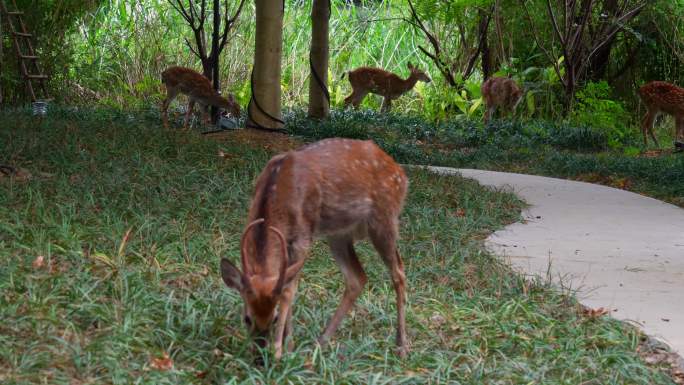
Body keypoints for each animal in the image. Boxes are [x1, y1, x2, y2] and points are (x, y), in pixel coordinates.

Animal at [222, 138, 408, 360]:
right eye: (247, 318)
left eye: (274, 318)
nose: (259, 357)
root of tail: (401, 173)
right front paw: (289, 345)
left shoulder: (303, 236)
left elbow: (288, 291)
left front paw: (280, 350)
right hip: (339, 234)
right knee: (357, 278)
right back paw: (320, 342)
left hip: (385, 219)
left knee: (398, 272)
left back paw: (402, 344)